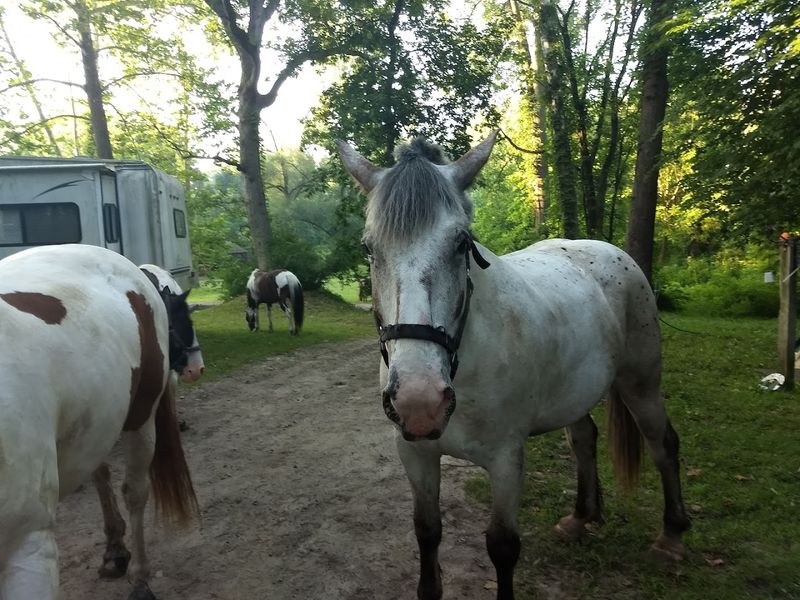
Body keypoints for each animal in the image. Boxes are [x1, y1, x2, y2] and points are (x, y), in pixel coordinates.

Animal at [0, 244, 202, 600]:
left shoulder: (29, 549)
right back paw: (115, 551)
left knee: (134, 491)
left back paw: (139, 578)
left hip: (140, 419)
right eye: (184, 319)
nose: (195, 367)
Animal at [338, 132, 690, 600]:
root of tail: (612, 253)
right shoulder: (415, 452)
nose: (420, 401)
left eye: (461, 243)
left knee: (663, 444)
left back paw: (672, 536)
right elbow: (427, 532)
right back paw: (581, 517)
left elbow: (502, 546)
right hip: (575, 395)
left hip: (642, 384)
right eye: (369, 248)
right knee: (584, 440)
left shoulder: (506, 460)